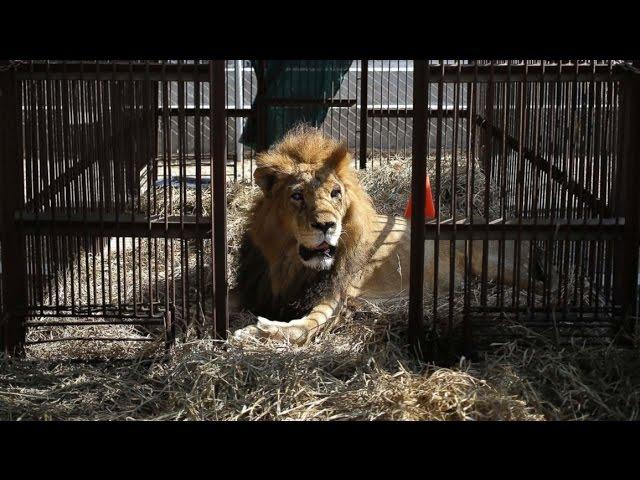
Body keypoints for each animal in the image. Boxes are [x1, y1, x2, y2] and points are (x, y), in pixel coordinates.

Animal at [232, 126, 548, 344]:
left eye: (335, 193)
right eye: (297, 196)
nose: (326, 225)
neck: (290, 262)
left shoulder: (334, 297)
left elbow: (304, 326)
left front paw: (257, 331)